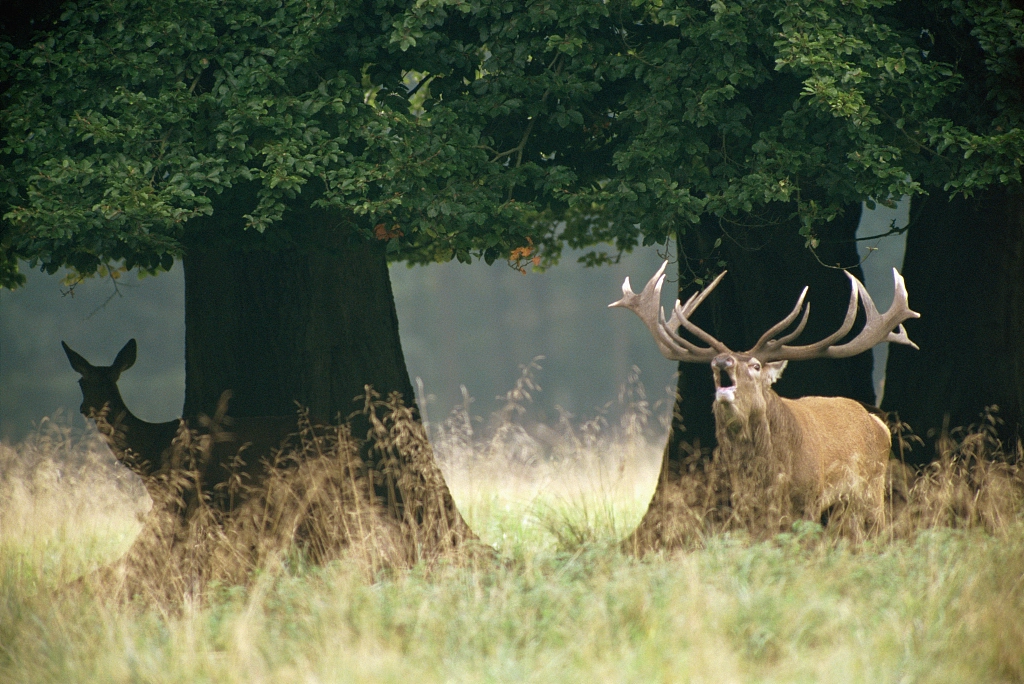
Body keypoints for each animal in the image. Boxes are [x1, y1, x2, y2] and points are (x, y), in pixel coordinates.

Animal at [610, 264, 925, 528]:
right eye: (712, 367)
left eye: (756, 365)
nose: (721, 361)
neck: (769, 475)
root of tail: (878, 422)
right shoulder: (745, 504)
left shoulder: (809, 498)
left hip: (871, 491)